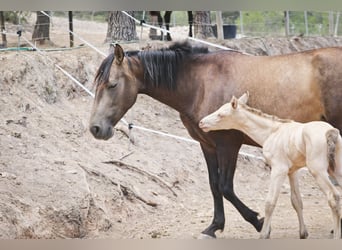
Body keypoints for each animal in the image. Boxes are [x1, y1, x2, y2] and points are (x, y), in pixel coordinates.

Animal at [199, 93, 340, 239]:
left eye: (221, 114)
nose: (201, 123)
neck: (272, 132)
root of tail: (330, 132)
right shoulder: (292, 171)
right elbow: (296, 201)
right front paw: (303, 233)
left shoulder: (278, 169)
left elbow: (270, 203)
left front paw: (264, 234)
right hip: (336, 170)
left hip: (317, 171)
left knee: (333, 196)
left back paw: (336, 235)